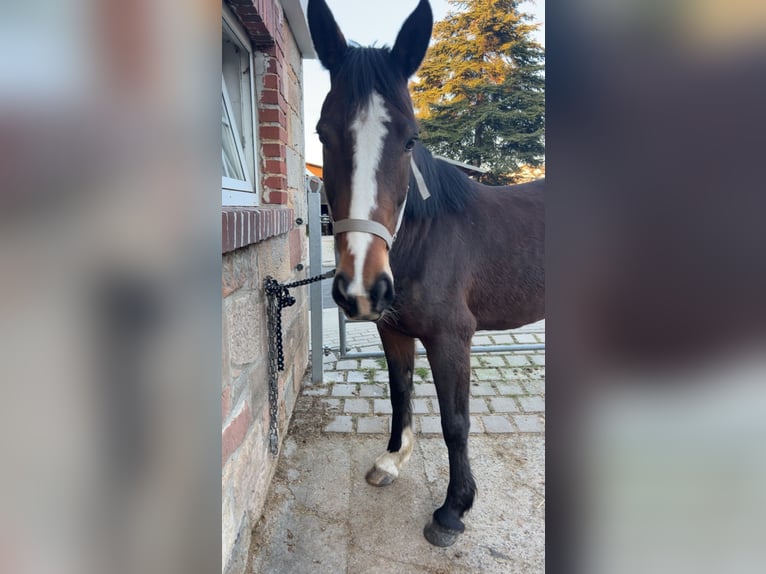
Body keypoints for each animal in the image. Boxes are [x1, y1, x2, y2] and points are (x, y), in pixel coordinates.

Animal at [307, 0, 545, 547]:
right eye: (323, 133)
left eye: (410, 139)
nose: (360, 288)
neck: (427, 239)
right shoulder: (393, 330)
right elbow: (400, 393)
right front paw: (392, 461)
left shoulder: (452, 337)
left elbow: (455, 422)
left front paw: (453, 510)